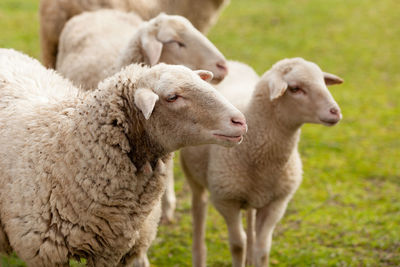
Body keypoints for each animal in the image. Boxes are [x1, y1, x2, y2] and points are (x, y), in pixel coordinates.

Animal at [180, 57, 342, 266]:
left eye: (323, 81)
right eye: (295, 88)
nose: (335, 112)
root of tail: (233, 61)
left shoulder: (276, 203)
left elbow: (262, 248)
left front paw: (256, 255)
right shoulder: (226, 200)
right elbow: (237, 245)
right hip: (194, 177)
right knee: (199, 208)